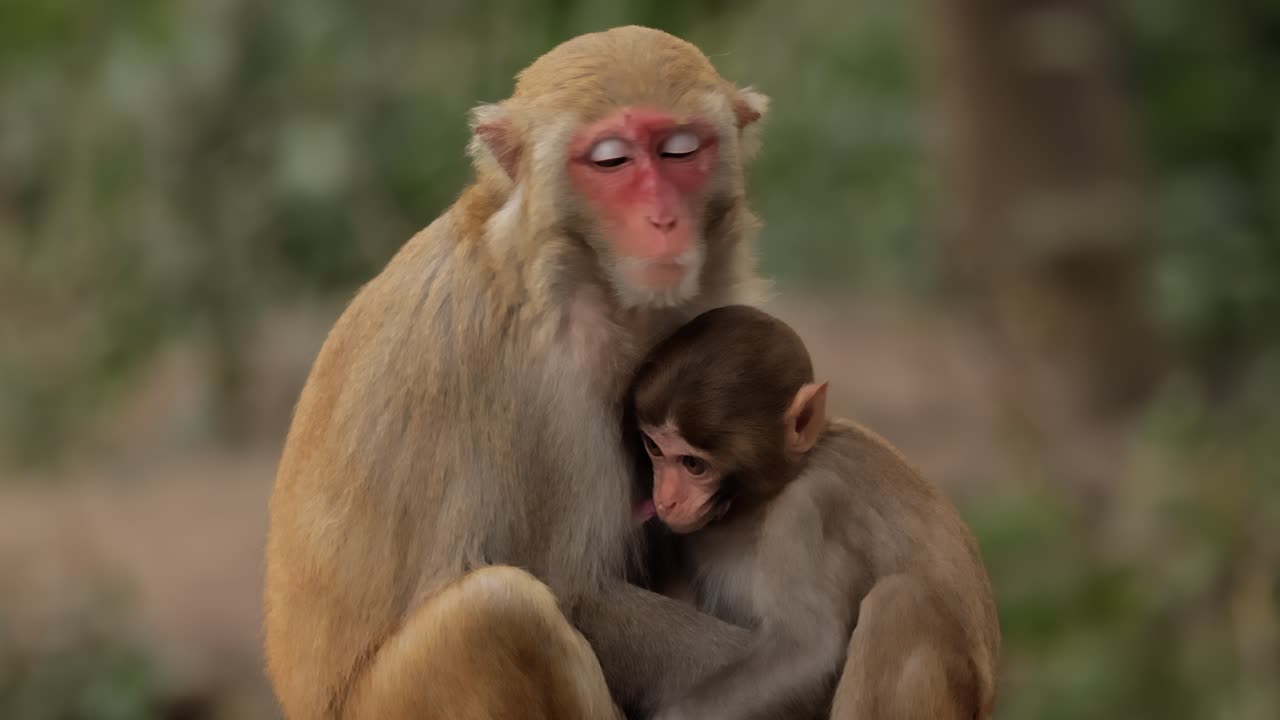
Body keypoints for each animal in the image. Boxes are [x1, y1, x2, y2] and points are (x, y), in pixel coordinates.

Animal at [262, 26, 775, 720]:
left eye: (680, 151)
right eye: (611, 161)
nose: (663, 220)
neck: (582, 277)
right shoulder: (543, 392)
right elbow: (578, 591)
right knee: (497, 613)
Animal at [627, 305, 1001, 720]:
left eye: (694, 465)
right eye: (655, 449)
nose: (666, 499)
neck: (764, 498)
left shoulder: (807, 509)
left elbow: (809, 652)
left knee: (899, 603)